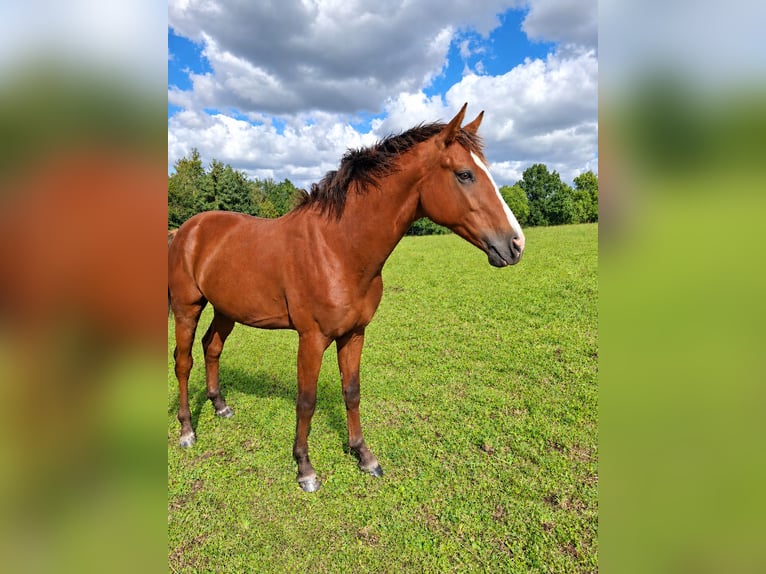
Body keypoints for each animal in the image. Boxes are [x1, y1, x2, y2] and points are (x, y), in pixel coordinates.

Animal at [168, 104, 525, 492]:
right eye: (464, 175)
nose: (516, 244)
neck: (338, 248)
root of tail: (187, 229)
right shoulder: (311, 339)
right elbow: (306, 400)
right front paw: (305, 468)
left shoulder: (354, 334)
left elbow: (351, 390)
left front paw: (363, 455)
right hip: (188, 308)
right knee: (184, 362)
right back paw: (187, 431)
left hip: (226, 310)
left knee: (212, 347)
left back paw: (220, 406)